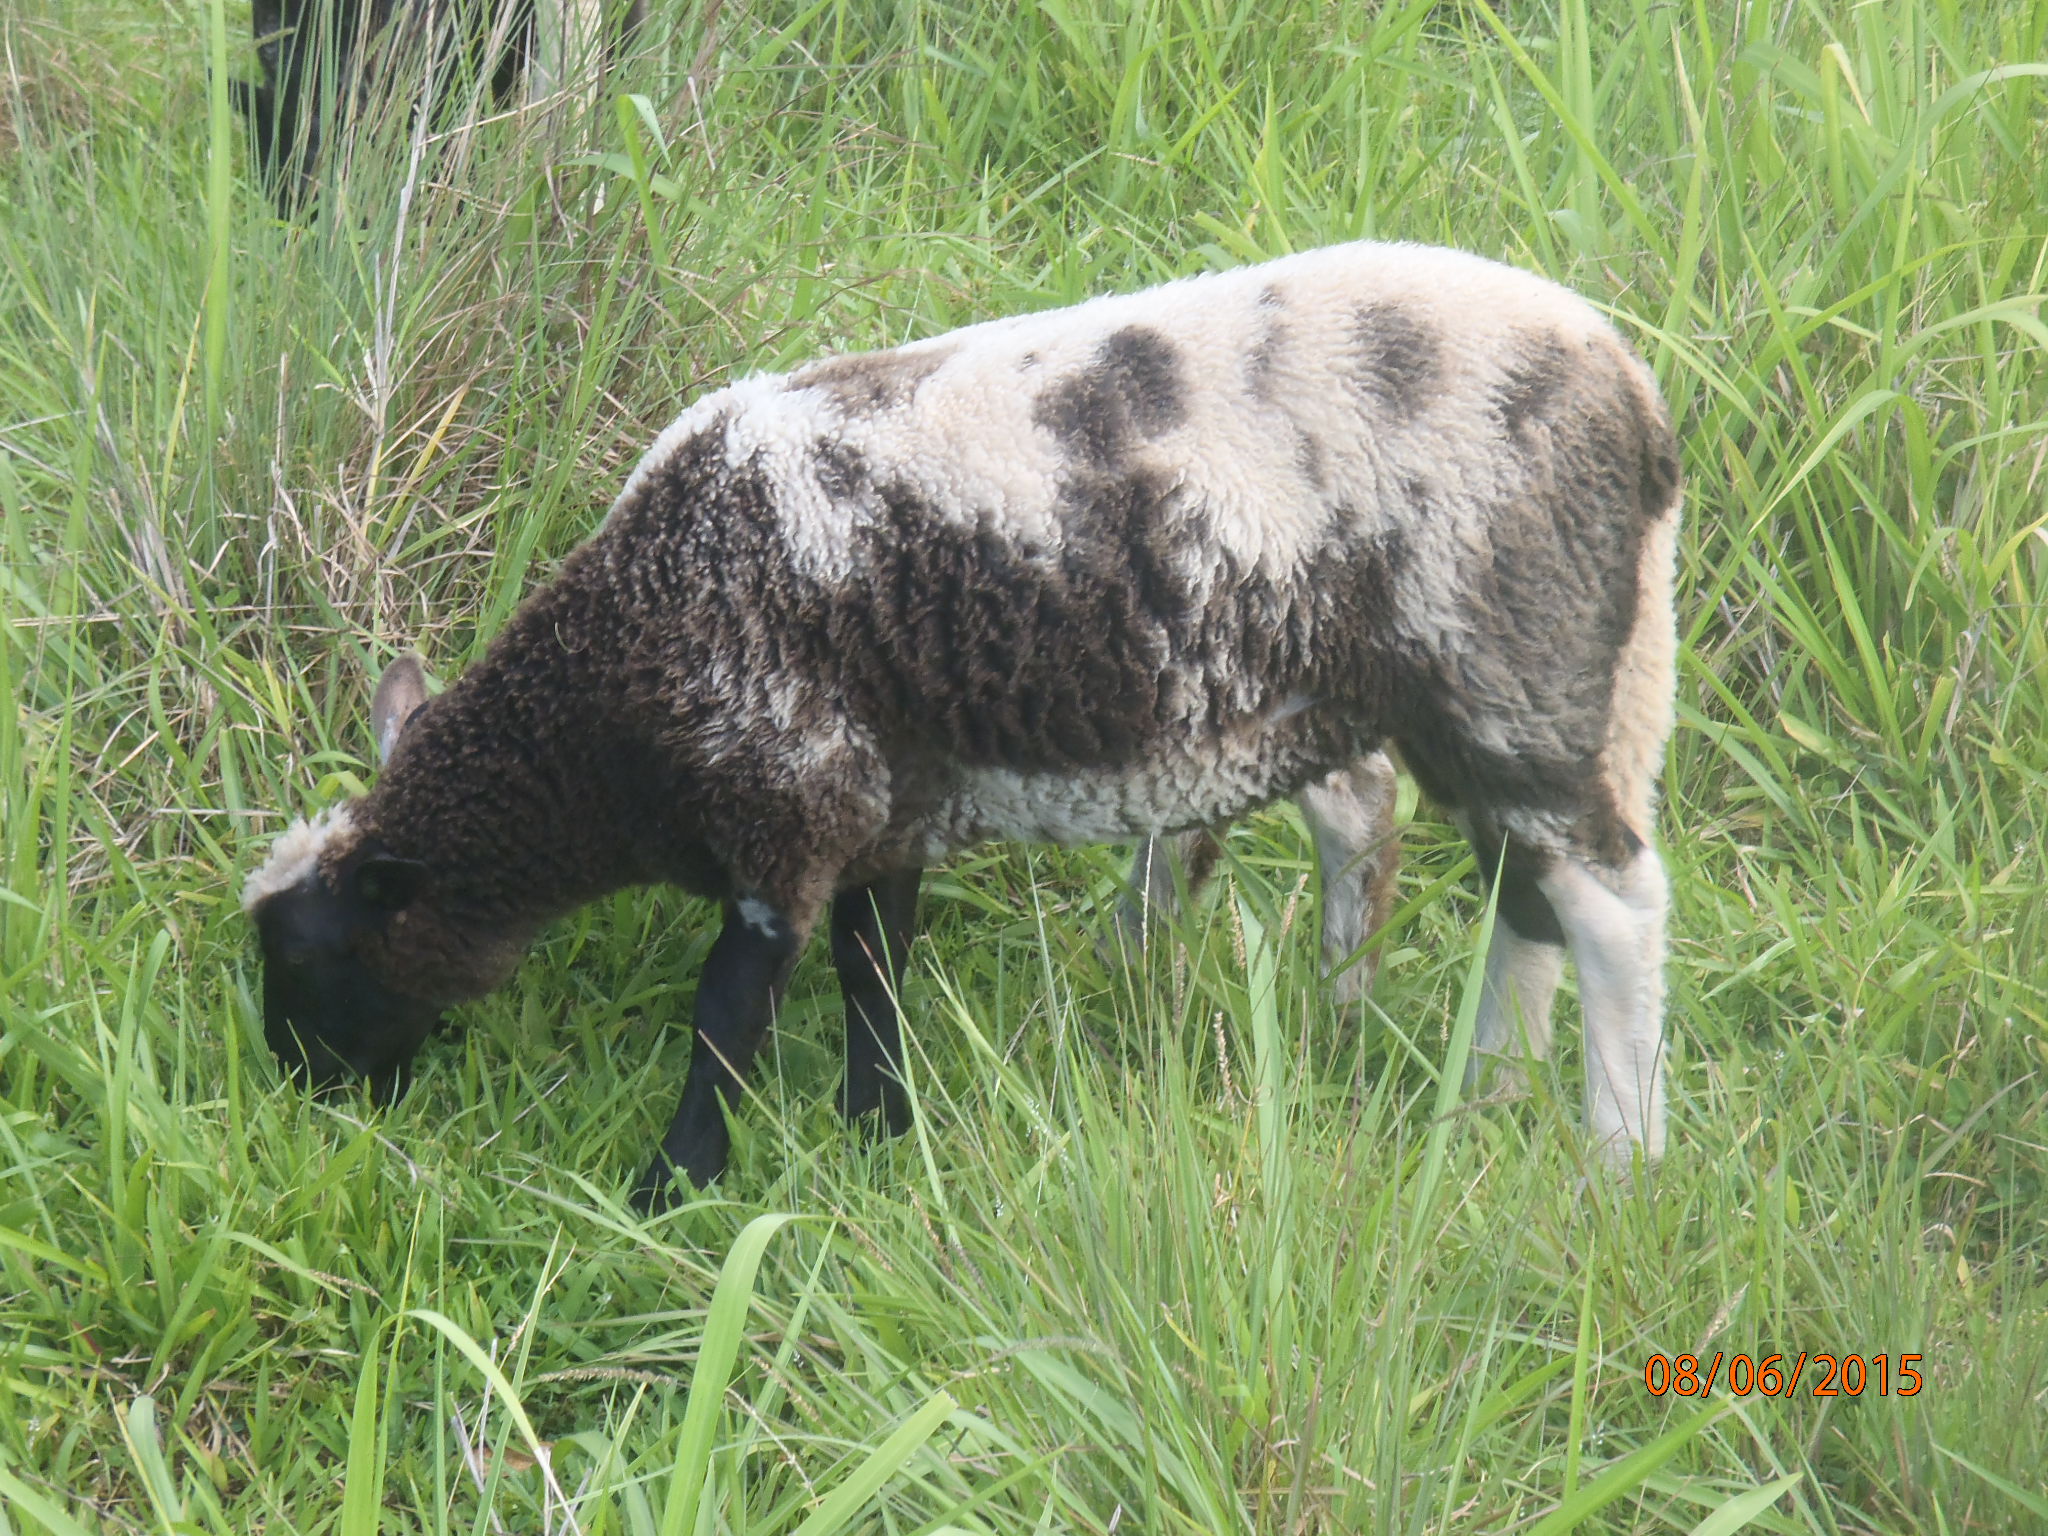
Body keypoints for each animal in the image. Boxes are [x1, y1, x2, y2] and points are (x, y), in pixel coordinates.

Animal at [243, 240, 1679, 1212]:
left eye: (311, 959)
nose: (302, 1100)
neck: (612, 698)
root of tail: (1636, 400)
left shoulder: (783, 808)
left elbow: (728, 1019)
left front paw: (671, 1189)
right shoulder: (880, 809)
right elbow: (874, 974)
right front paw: (879, 1135)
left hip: (1517, 668)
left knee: (1609, 911)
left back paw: (1616, 1161)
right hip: (1461, 698)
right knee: (1514, 897)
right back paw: (1475, 1098)